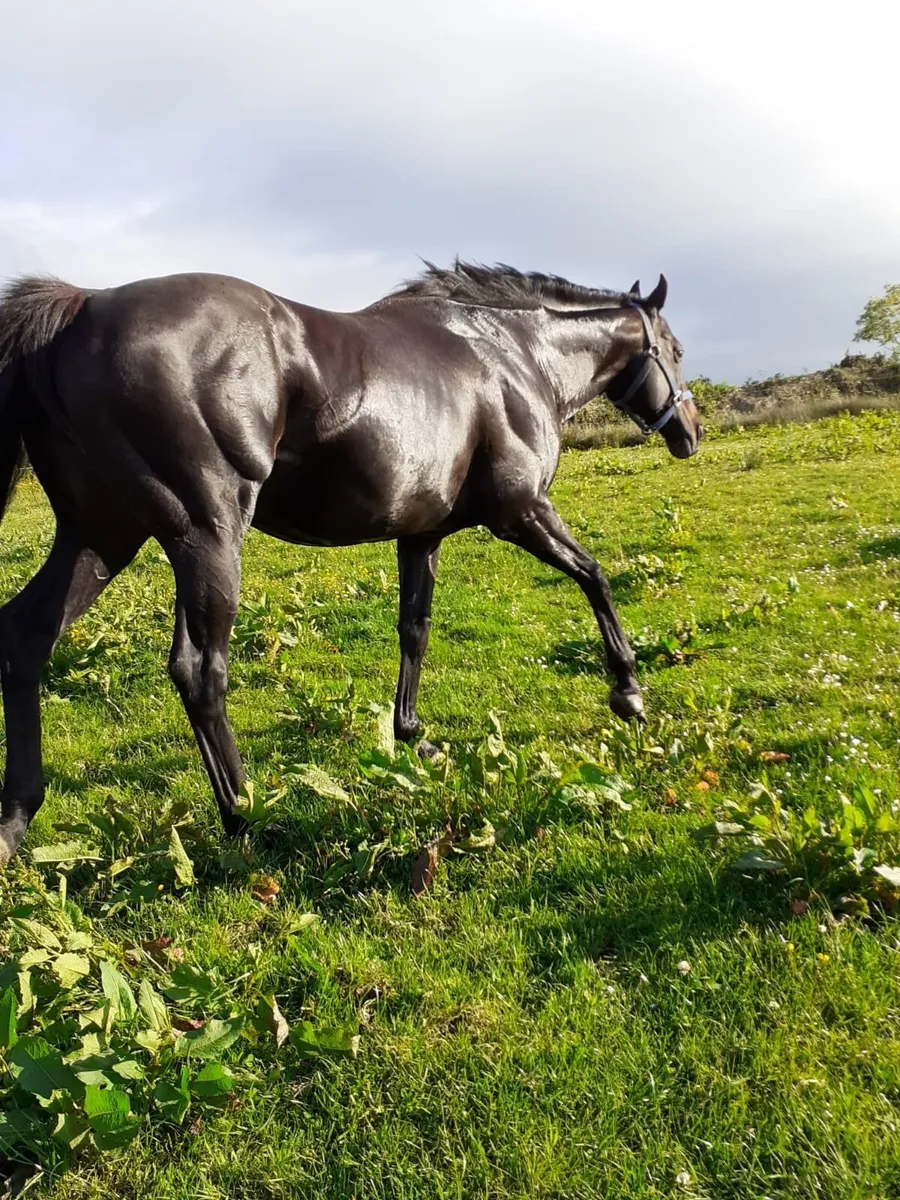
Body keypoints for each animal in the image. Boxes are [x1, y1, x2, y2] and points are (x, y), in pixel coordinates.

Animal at [0, 261, 700, 864]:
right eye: (675, 350)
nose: (689, 432)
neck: (510, 357)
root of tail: (81, 308)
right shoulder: (522, 512)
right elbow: (595, 576)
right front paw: (628, 690)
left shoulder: (422, 535)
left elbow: (414, 630)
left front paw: (413, 734)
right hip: (205, 537)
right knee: (199, 671)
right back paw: (246, 820)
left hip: (100, 536)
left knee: (26, 638)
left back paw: (17, 817)